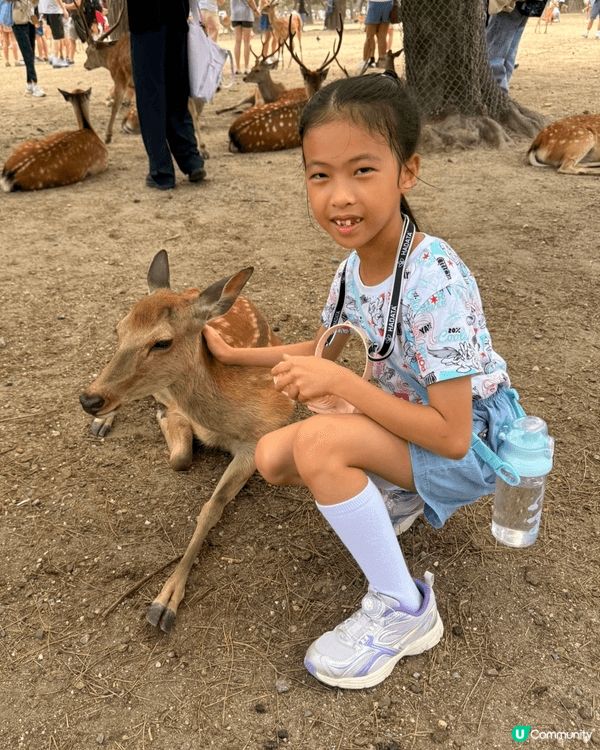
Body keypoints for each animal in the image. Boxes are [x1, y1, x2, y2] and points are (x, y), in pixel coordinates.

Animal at [79, 251, 293, 632]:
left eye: (162, 342)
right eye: (118, 329)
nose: (88, 400)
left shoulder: (258, 441)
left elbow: (211, 507)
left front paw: (164, 603)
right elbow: (179, 456)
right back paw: (104, 421)